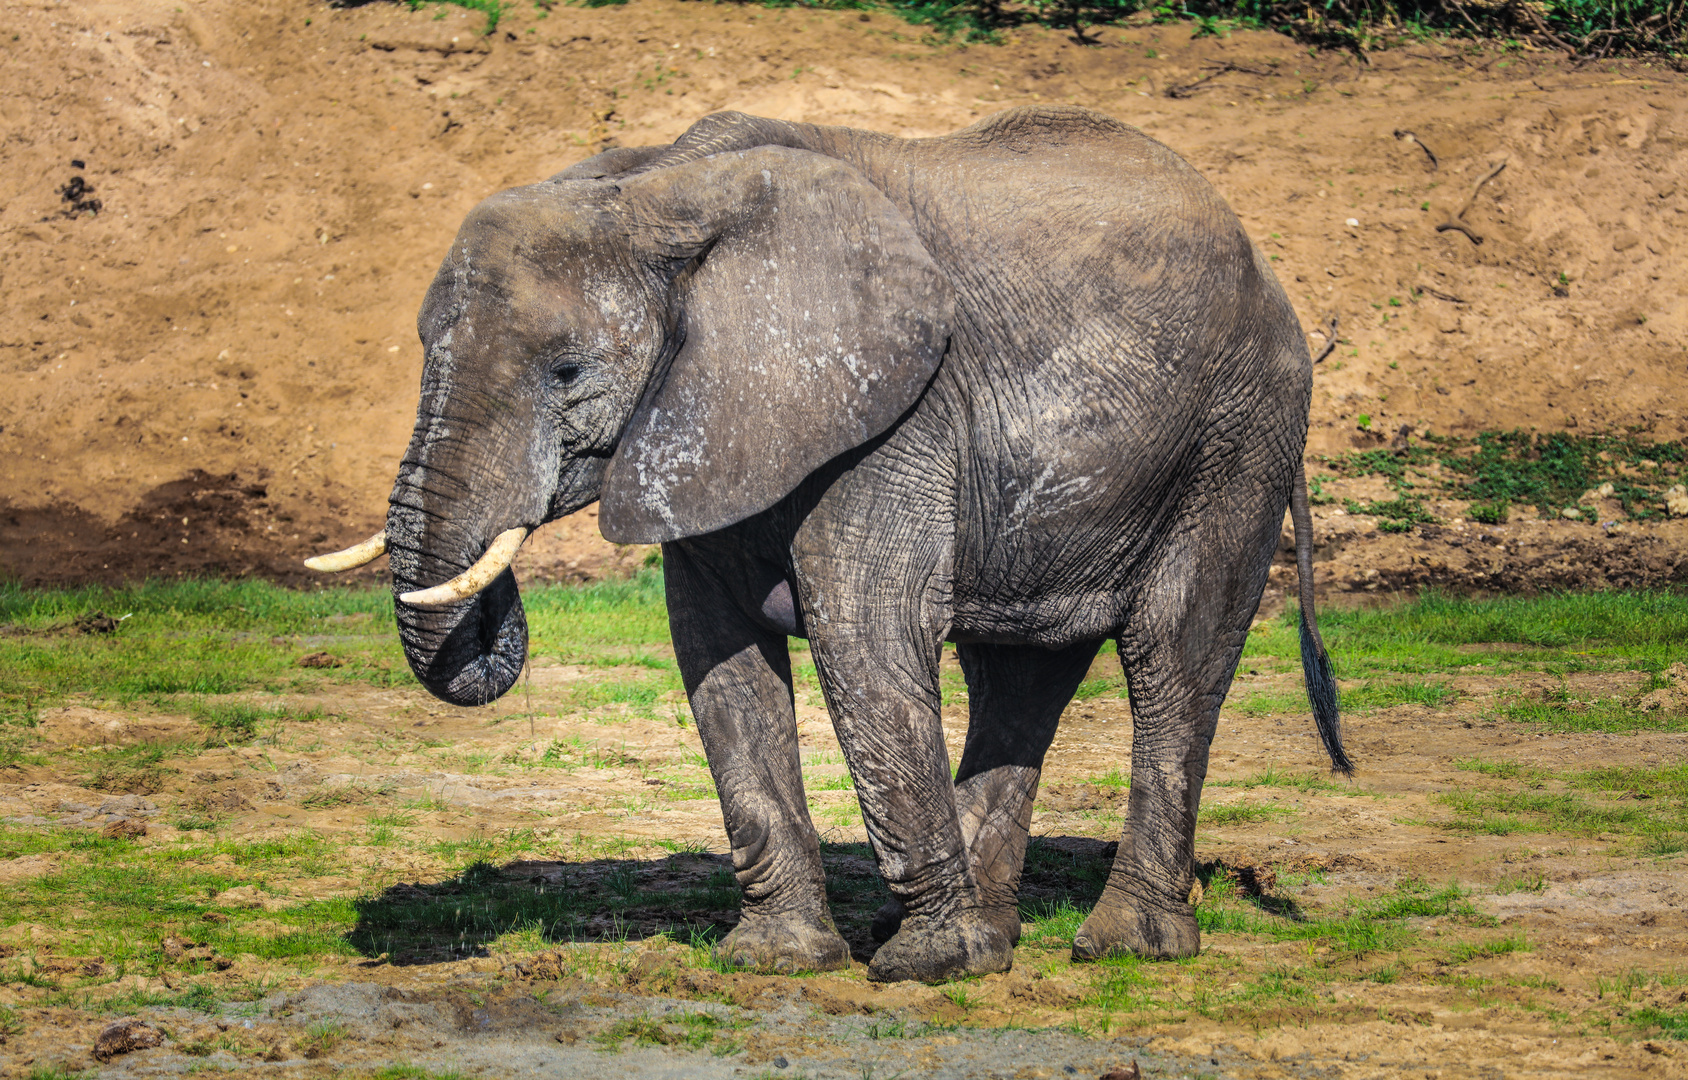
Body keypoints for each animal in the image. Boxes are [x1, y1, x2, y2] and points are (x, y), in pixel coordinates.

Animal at [310, 105, 1350, 985]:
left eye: (567, 371)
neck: (656, 189)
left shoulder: (896, 410)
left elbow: (866, 630)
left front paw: (928, 969)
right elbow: (718, 657)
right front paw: (779, 961)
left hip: (1237, 434)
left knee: (1173, 653)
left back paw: (1122, 947)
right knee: (1019, 673)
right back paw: (996, 936)